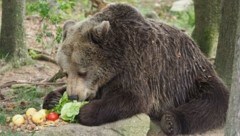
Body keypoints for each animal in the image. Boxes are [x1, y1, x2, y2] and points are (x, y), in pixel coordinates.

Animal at [42, 3, 229, 136]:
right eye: (66, 72)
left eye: (83, 72)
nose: (74, 96)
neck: (118, 59)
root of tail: (199, 51)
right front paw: (53, 99)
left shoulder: (138, 66)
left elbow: (131, 98)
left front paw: (84, 111)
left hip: (191, 78)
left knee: (211, 103)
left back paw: (170, 121)